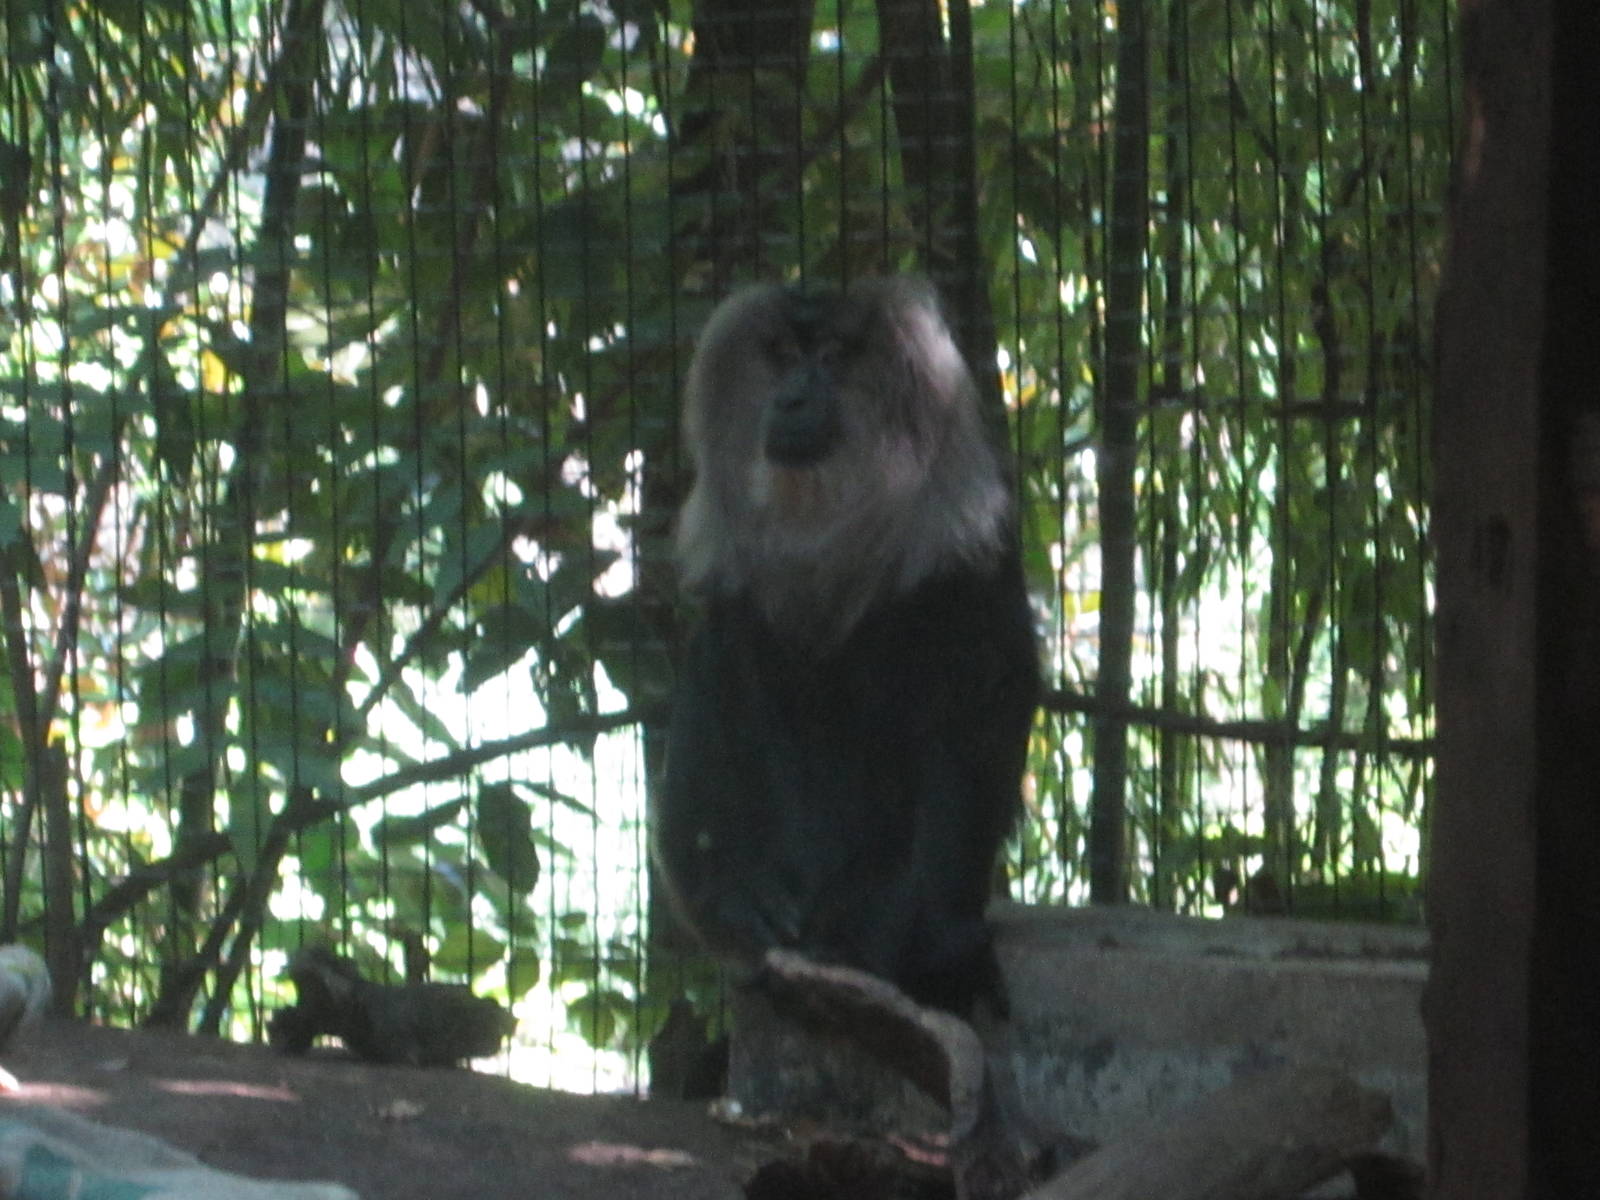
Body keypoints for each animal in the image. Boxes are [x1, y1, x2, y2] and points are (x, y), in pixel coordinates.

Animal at [654, 277, 1039, 1016]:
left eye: (831, 356)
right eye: (781, 355)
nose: (790, 398)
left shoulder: (967, 566)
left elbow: (973, 722)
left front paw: (870, 941)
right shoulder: (738, 598)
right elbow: (732, 684)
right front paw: (749, 901)